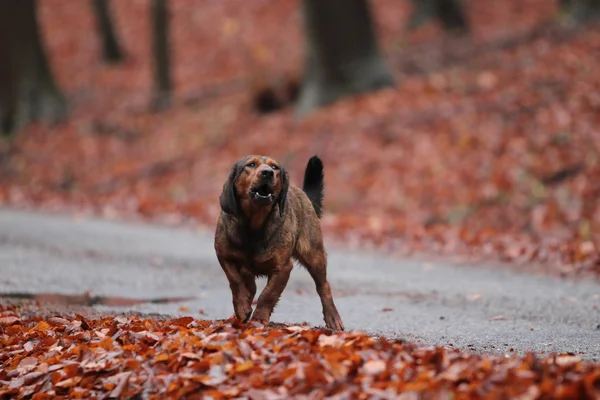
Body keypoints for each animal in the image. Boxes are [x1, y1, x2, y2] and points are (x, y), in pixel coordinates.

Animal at [213, 155, 344, 330]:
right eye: (251, 165)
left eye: (274, 167)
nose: (267, 173)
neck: (253, 225)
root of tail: (304, 195)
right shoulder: (225, 257)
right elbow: (235, 281)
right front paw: (242, 307)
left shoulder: (283, 268)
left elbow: (268, 294)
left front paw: (259, 318)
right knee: (250, 286)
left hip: (314, 256)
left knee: (324, 286)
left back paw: (333, 317)